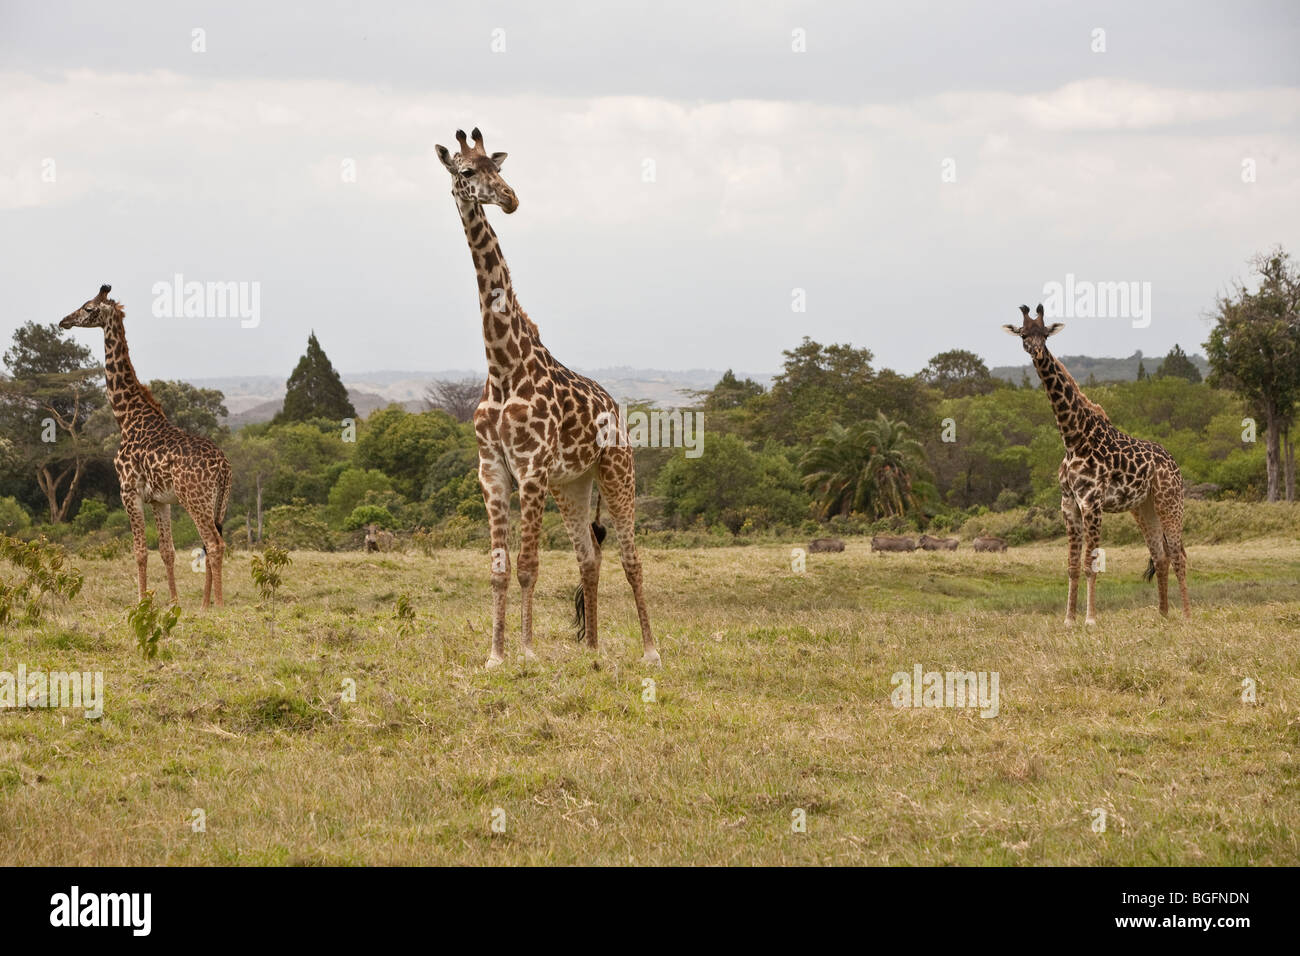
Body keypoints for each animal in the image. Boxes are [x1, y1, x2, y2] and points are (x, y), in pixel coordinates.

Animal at [59, 285, 232, 608]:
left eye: (88, 308)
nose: (64, 321)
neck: (127, 418)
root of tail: (225, 467)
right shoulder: (159, 500)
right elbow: (167, 551)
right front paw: (174, 602)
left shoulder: (129, 491)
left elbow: (139, 551)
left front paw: (141, 601)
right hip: (219, 502)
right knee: (210, 543)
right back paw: (204, 605)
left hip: (195, 499)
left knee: (215, 544)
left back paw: (219, 604)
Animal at [434, 127, 660, 669]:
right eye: (467, 171)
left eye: (497, 168)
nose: (511, 199)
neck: (502, 365)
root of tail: (615, 408)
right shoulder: (493, 470)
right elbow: (498, 568)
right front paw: (496, 655)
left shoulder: (531, 468)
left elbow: (528, 566)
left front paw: (528, 651)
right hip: (572, 484)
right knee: (589, 556)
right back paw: (593, 649)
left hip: (616, 470)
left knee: (631, 558)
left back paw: (650, 651)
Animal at [1004, 304, 1189, 624]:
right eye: (1024, 334)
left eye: (1045, 334)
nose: (1037, 352)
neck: (1073, 437)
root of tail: (1173, 461)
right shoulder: (1069, 504)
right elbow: (1071, 566)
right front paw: (1069, 620)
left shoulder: (1092, 502)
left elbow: (1091, 564)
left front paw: (1090, 620)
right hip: (1144, 507)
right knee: (1160, 556)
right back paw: (1163, 615)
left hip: (1169, 499)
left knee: (1178, 554)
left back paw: (1188, 616)